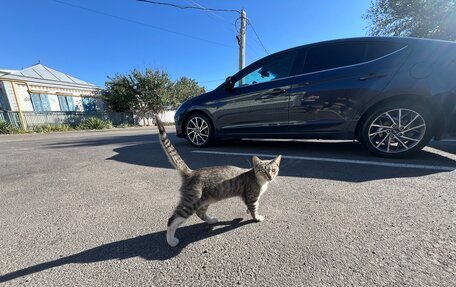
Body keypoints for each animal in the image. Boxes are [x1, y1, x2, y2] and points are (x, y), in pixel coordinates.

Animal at [155, 116, 280, 249]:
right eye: (263, 171)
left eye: (273, 170)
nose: (270, 177)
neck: (259, 180)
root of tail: (191, 172)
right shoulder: (252, 196)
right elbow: (254, 208)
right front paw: (256, 217)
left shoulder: (247, 197)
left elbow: (252, 206)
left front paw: (248, 211)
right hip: (190, 203)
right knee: (172, 220)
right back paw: (171, 241)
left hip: (205, 200)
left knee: (200, 213)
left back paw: (211, 220)